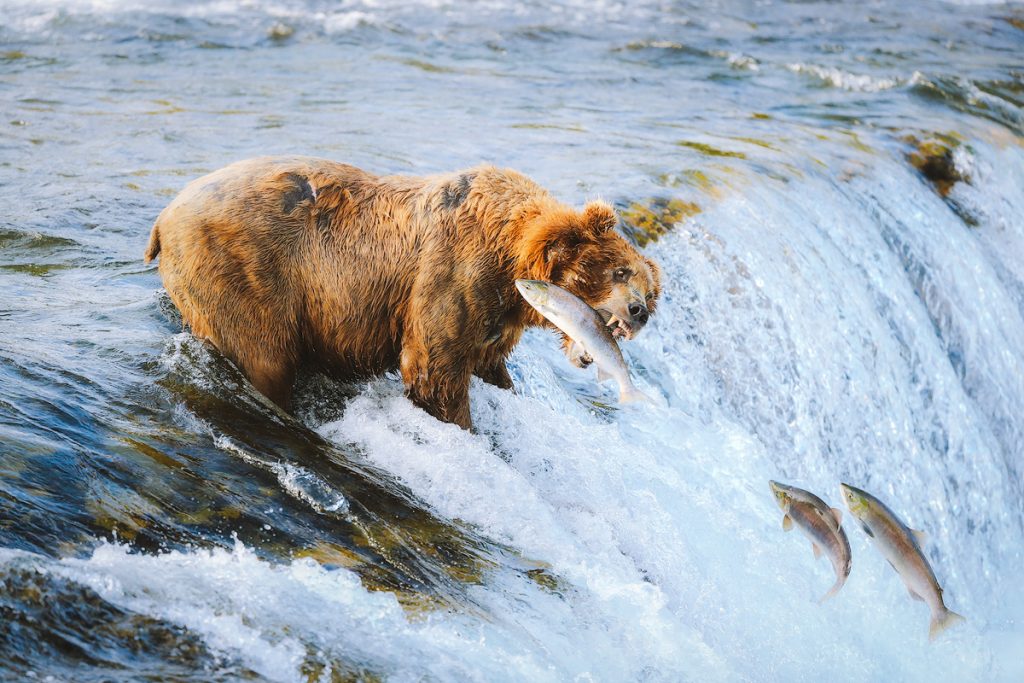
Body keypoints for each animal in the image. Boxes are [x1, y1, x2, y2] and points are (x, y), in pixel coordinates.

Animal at [144, 157, 659, 430]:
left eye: (651, 290)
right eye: (619, 270)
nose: (639, 312)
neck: (510, 257)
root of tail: (164, 218)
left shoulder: (494, 317)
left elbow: (488, 364)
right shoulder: (451, 276)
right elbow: (434, 369)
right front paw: (463, 426)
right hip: (246, 274)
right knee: (264, 355)